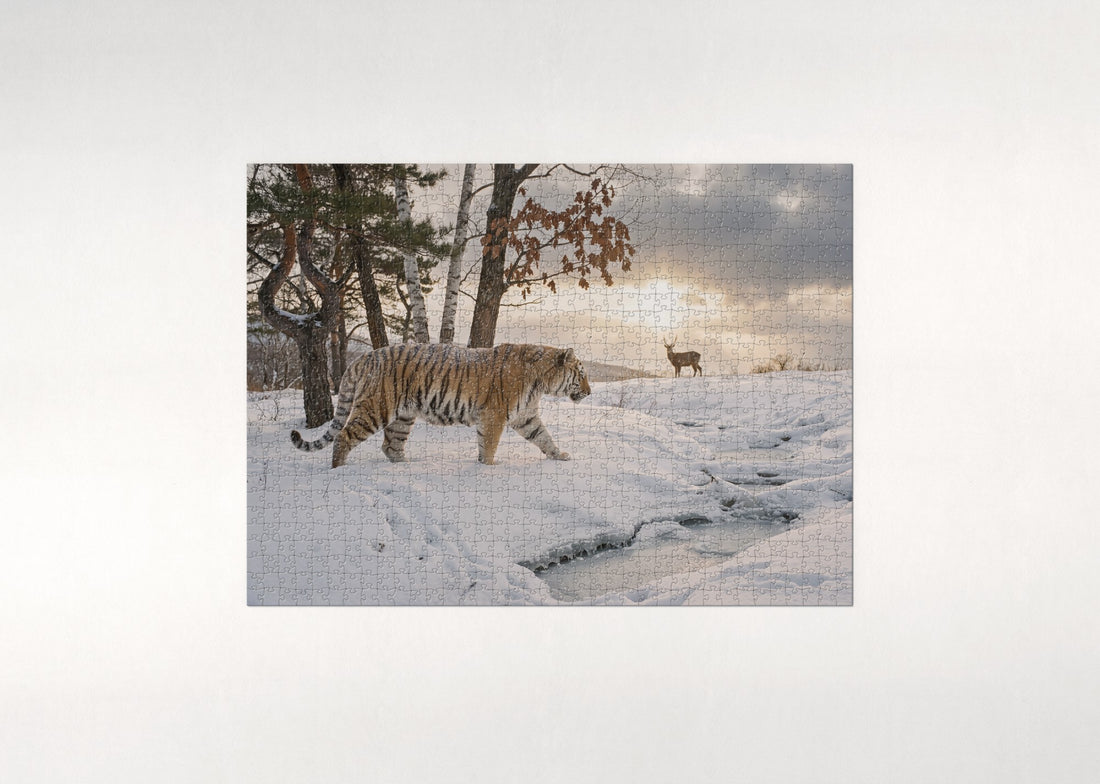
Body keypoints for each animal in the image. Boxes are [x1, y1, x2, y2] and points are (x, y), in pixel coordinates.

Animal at [290, 343, 592, 468]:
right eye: (582, 374)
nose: (589, 392)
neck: (540, 382)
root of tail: (362, 358)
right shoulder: (494, 416)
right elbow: (489, 445)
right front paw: (489, 467)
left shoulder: (525, 416)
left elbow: (544, 437)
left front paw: (560, 455)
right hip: (376, 408)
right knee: (343, 436)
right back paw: (338, 469)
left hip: (403, 417)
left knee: (390, 446)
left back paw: (404, 466)